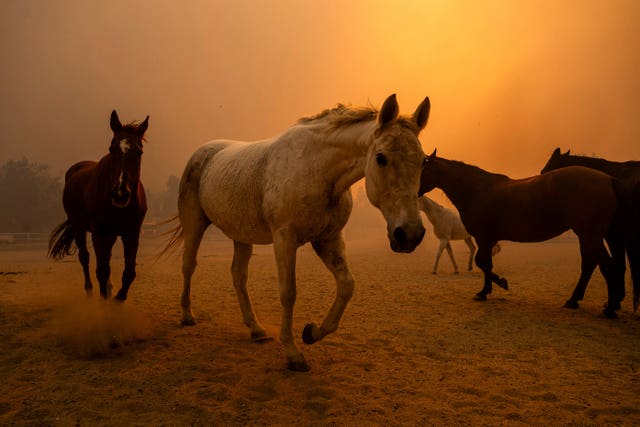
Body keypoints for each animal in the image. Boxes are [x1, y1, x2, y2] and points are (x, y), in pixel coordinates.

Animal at [48, 112, 149, 302]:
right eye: (112, 149)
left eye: (139, 152)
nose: (120, 194)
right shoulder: (99, 234)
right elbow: (101, 270)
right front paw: (105, 302)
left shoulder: (131, 234)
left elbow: (129, 272)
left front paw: (119, 297)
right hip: (79, 227)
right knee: (85, 257)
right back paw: (89, 289)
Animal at [160, 94, 430, 372]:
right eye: (381, 158)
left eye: (423, 161)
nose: (410, 234)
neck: (317, 169)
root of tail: (203, 152)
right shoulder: (285, 240)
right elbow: (288, 293)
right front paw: (293, 353)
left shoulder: (328, 239)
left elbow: (346, 285)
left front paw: (312, 332)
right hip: (194, 225)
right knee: (189, 266)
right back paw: (187, 315)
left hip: (241, 236)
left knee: (238, 276)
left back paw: (256, 329)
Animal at [420, 150, 624, 318]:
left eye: (424, 169)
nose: (416, 191)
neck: (478, 190)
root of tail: (608, 179)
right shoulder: (488, 239)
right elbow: (485, 263)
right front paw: (489, 289)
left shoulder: (484, 237)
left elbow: (482, 263)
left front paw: (493, 287)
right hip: (588, 236)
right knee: (592, 264)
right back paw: (576, 301)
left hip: (590, 236)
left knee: (605, 265)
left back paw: (609, 308)